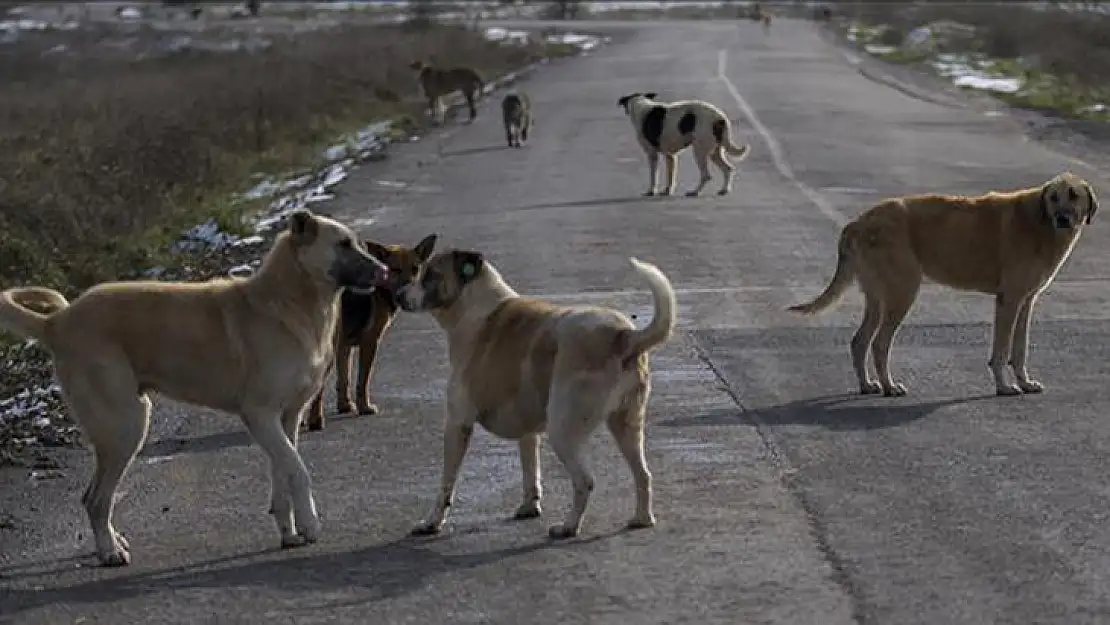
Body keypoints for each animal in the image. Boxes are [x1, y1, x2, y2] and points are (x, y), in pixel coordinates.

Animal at [0, 209, 390, 568]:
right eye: (343, 244)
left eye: (357, 242)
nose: (384, 272)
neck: (289, 300)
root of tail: (56, 322)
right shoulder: (260, 415)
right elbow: (298, 470)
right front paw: (310, 524)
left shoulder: (286, 418)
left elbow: (282, 475)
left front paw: (289, 532)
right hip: (126, 426)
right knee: (95, 499)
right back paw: (109, 552)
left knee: (96, 497)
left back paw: (113, 543)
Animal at [308, 232, 441, 432]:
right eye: (395, 269)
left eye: (415, 268)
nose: (408, 290)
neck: (381, 288)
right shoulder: (369, 342)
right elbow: (362, 380)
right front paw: (364, 408)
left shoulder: (344, 347)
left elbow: (344, 379)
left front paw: (345, 406)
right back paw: (315, 421)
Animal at [399, 249, 674, 537]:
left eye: (430, 275)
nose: (398, 295)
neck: (475, 307)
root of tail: (623, 335)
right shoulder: (527, 429)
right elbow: (530, 468)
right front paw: (529, 506)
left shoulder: (457, 423)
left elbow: (446, 483)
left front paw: (432, 522)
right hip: (627, 425)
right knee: (643, 474)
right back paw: (642, 518)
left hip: (563, 430)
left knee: (585, 481)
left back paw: (569, 527)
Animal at [617, 92, 754, 197]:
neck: (640, 104)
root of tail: (720, 118)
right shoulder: (671, 156)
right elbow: (670, 177)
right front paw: (667, 191)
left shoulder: (652, 155)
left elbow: (653, 176)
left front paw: (651, 191)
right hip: (715, 152)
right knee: (728, 169)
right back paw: (724, 190)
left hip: (700, 151)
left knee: (706, 175)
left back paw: (695, 192)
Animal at [794, 172, 1096, 395]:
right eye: (1053, 197)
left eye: (1073, 195)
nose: (1062, 219)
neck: (1039, 222)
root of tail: (857, 222)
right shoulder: (1009, 300)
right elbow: (1001, 350)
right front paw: (1004, 386)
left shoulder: (1025, 302)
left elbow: (1019, 349)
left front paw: (1024, 382)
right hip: (902, 293)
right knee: (880, 343)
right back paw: (890, 387)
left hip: (879, 298)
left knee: (859, 341)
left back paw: (868, 385)